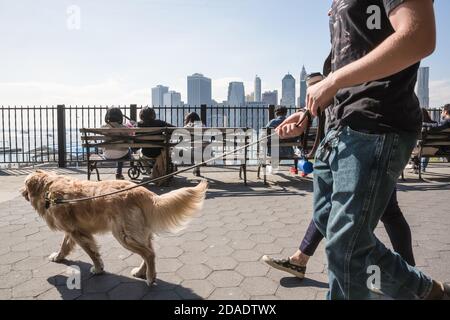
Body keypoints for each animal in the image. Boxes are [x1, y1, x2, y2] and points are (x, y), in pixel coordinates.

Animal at [22, 170, 208, 284]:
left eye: (24, 185)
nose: (21, 192)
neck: (49, 190)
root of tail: (144, 192)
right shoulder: (73, 230)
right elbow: (65, 245)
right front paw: (59, 256)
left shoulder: (78, 232)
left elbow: (92, 253)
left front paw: (98, 269)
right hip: (139, 233)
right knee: (149, 252)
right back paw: (141, 272)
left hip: (123, 235)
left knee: (149, 254)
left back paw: (150, 277)